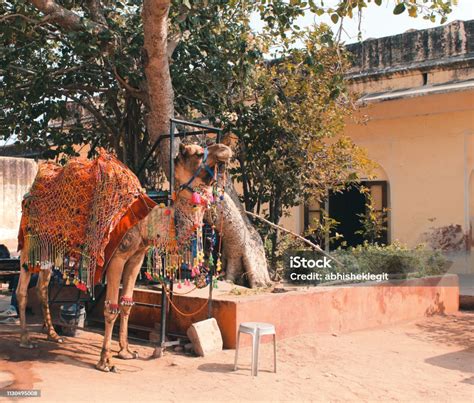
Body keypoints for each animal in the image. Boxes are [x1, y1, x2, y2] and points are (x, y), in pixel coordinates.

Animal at [17, 144, 233, 374]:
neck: (145, 224)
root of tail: (29, 193)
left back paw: (53, 335)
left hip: (50, 249)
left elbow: (128, 303)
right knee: (22, 288)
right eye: (198, 153)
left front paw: (126, 351)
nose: (225, 149)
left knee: (42, 287)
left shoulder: (136, 258)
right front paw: (105, 361)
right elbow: (111, 307)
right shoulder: (117, 258)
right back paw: (25, 339)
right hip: (30, 243)